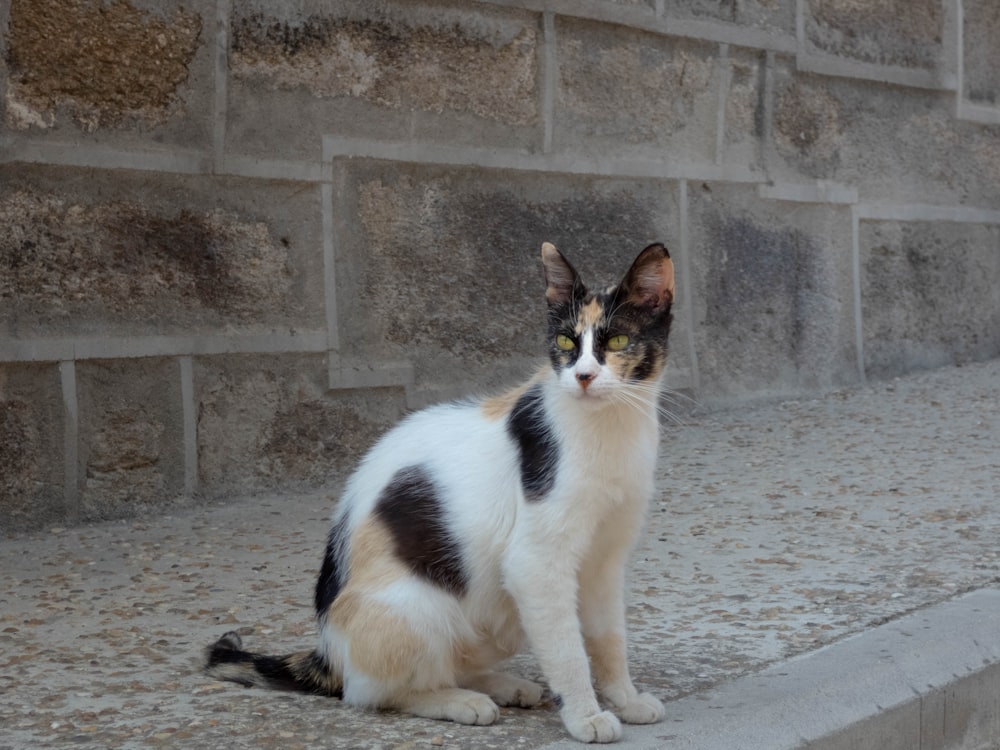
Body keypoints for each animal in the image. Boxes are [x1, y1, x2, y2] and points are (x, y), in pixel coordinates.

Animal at [209, 242, 680, 748]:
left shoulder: (605, 560)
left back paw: (503, 686)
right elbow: (568, 648)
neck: (610, 430)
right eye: (566, 344)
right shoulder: (535, 564)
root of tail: (327, 651)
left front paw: (625, 699)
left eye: (618, 342)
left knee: (451, 663)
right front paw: (585, 715)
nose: (584, 377)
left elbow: (609, 638)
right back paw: (460, 702)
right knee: (372, 692)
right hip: (417, 605)